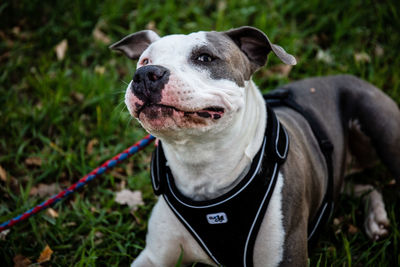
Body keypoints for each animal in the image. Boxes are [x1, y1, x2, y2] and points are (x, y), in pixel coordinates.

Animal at [110, 26, 400, 266]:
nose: (145, 74)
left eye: (204, 58)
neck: (201, 167)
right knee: (364, 186)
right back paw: (375, 218)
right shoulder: (154, 257)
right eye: (145, 60)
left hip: (383, 130)